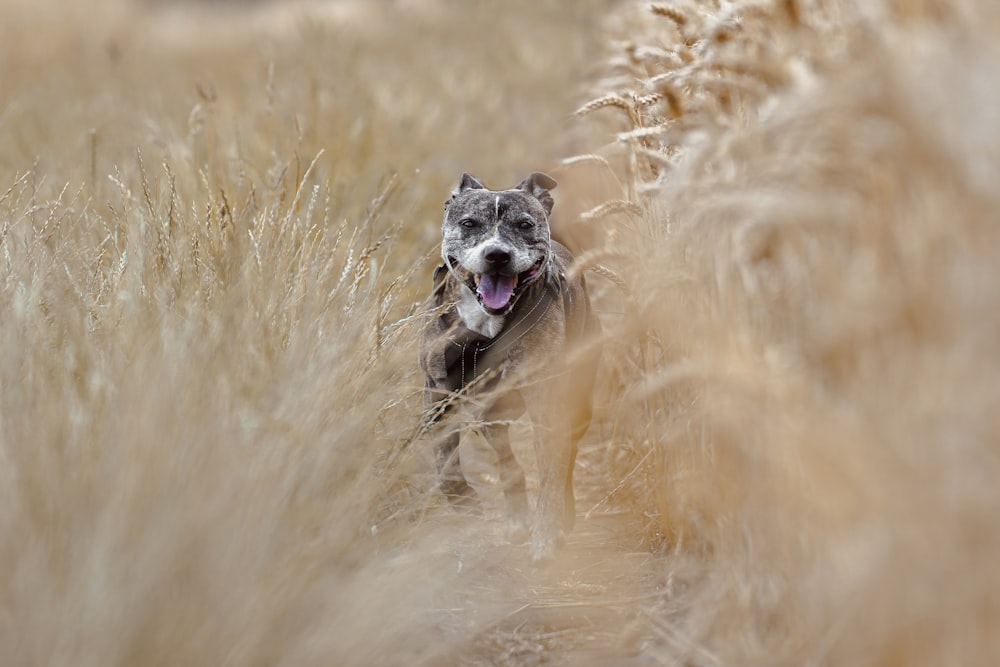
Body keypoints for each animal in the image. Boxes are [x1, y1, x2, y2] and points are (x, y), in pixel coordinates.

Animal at [418, 171, 596, 560]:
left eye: (524, 224)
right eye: (469, 224)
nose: (497, 254)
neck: (485, 323)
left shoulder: (547, 400)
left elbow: (551, 474)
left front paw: (548, 535)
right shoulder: (438, 392)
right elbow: (444, 459)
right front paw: (464, 500)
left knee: (566, 458)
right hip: (487, 412)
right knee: (506, 460)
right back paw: (515, 518)